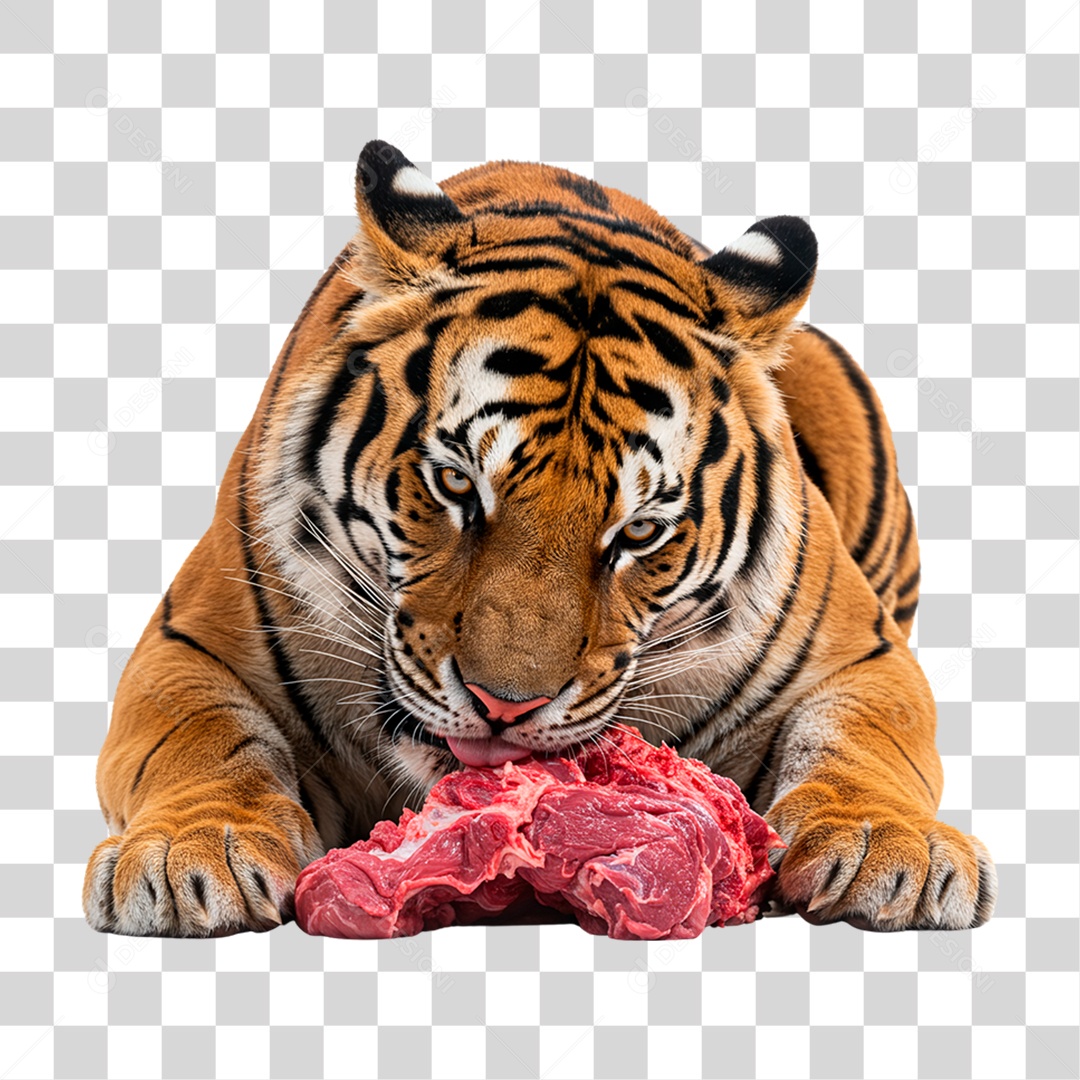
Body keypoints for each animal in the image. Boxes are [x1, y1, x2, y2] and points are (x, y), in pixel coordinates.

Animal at [83, 139, 997, 937]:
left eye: (639, 532)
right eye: (457, 485)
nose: (505, 707)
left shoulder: (858, 654)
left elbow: (862, 743)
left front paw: (891, 848)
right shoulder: (194, 639)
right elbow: (202, 739)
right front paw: (192, 853)